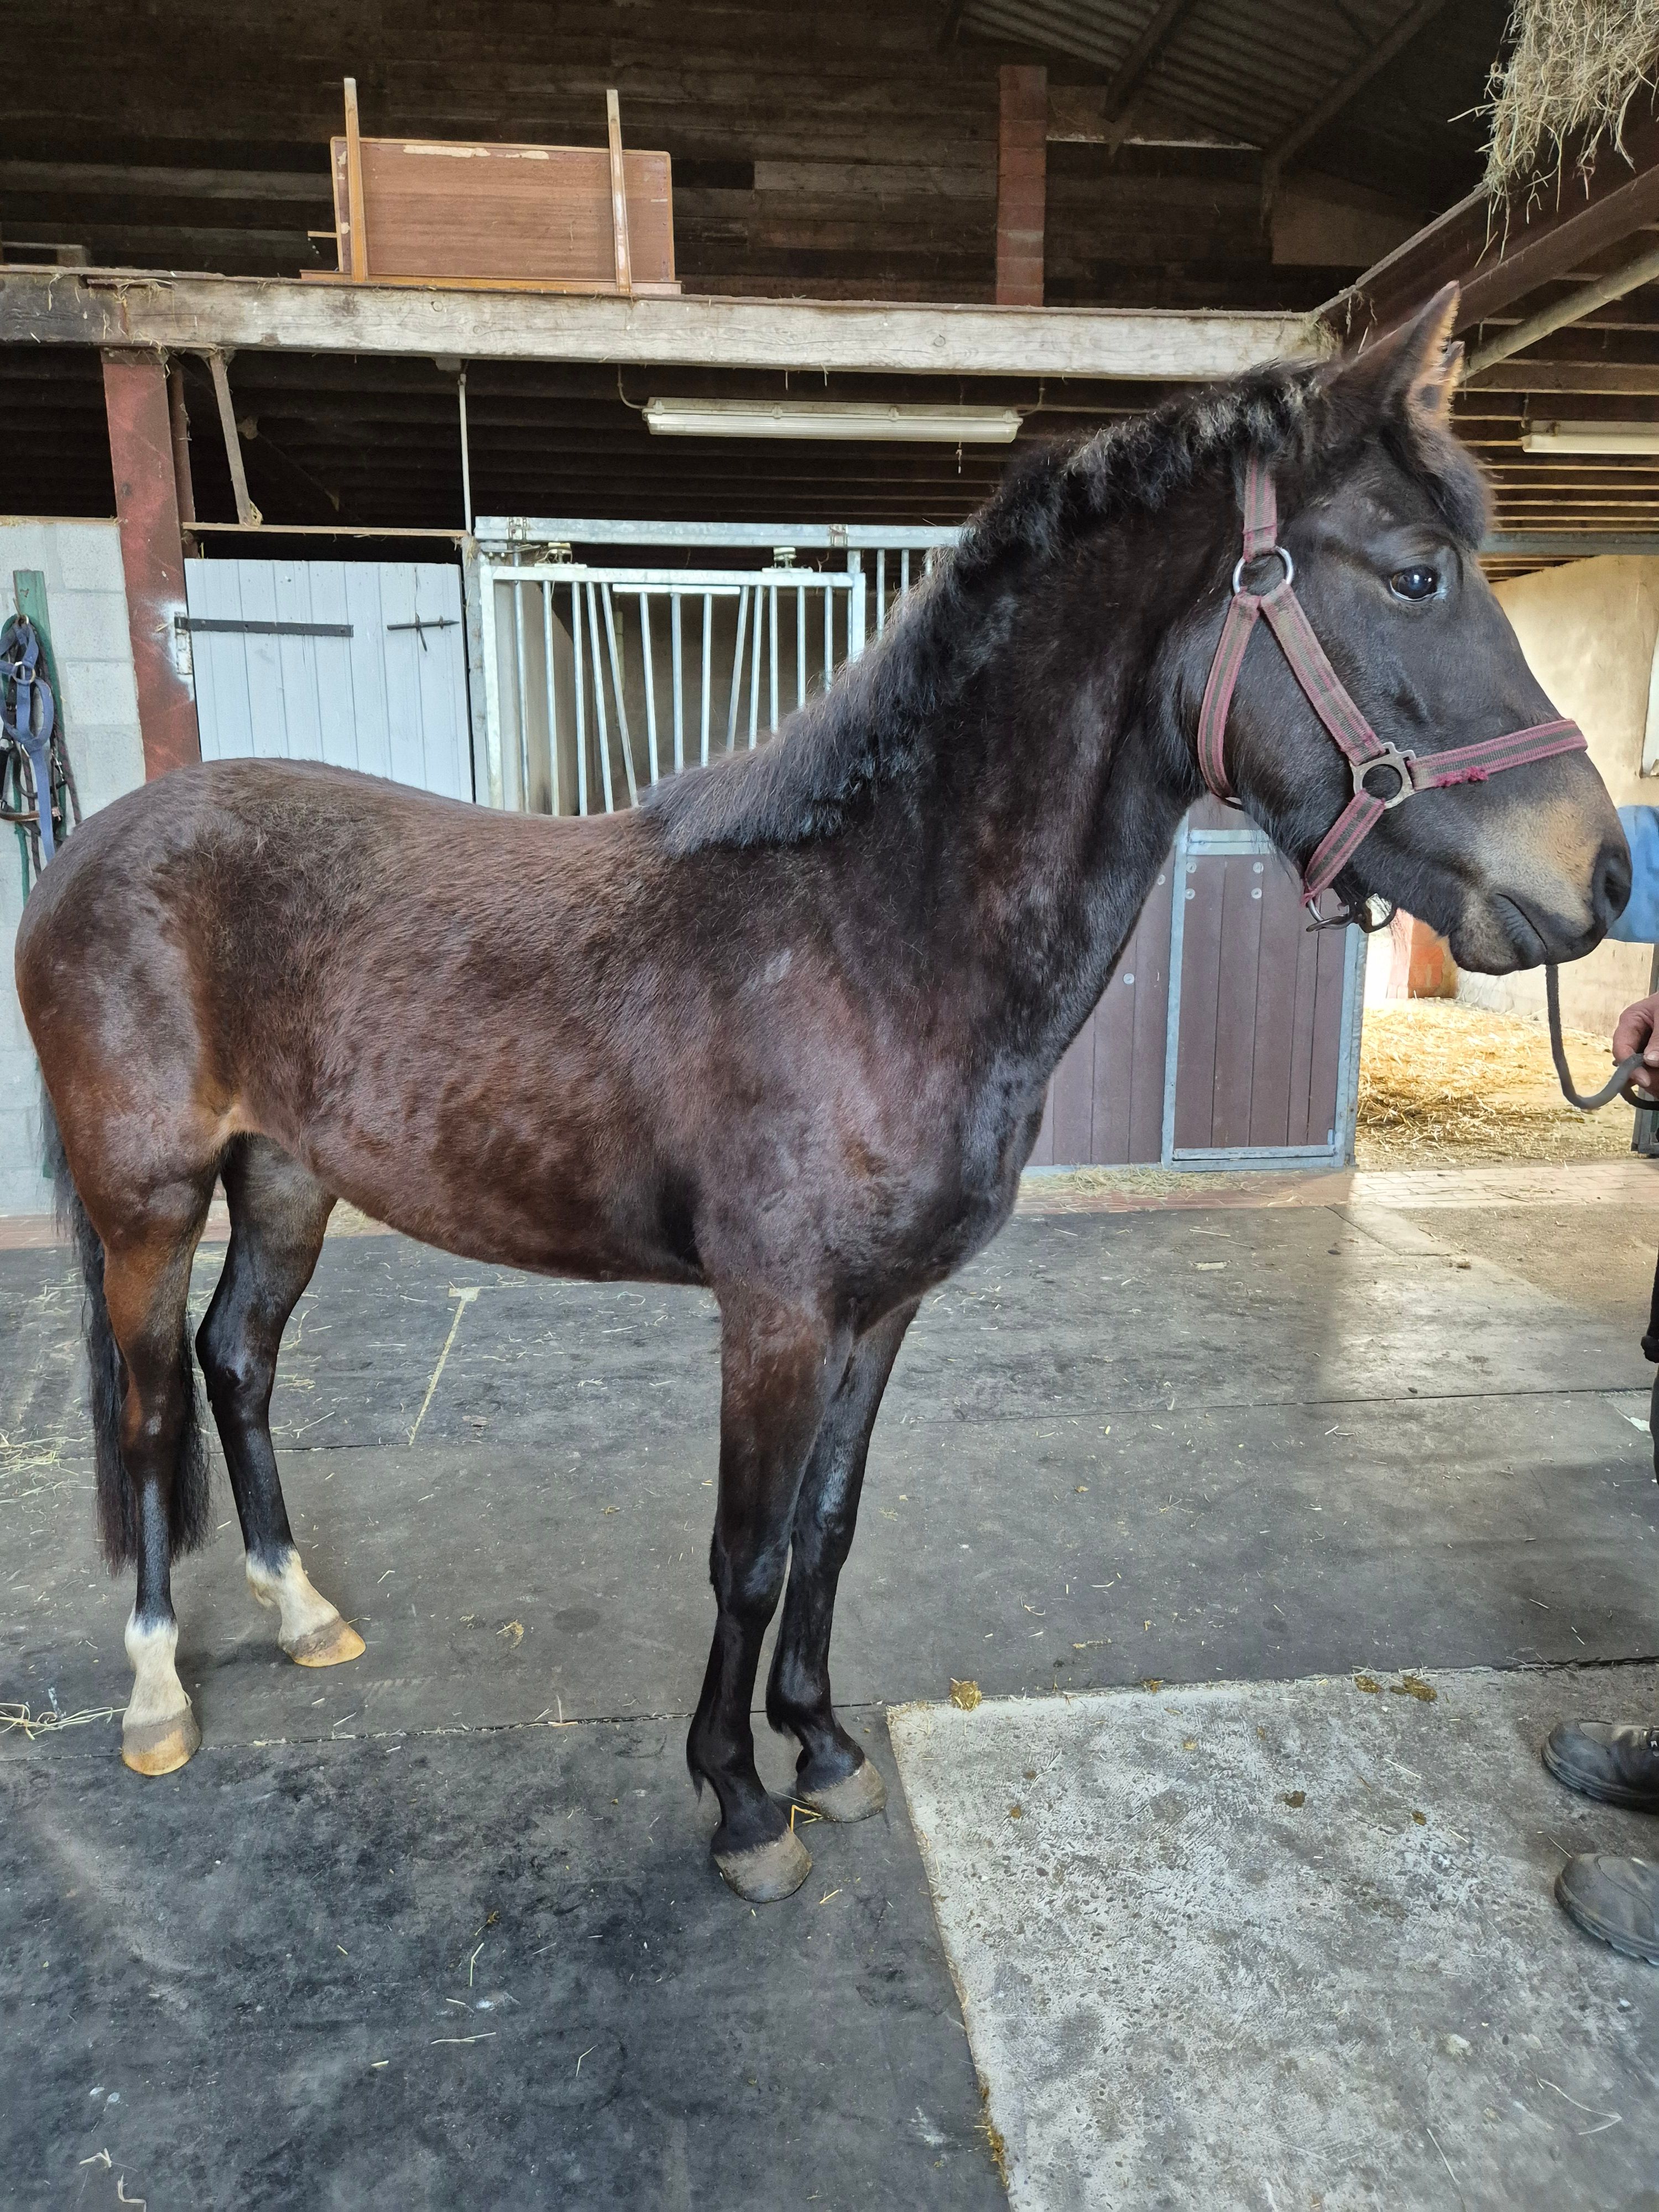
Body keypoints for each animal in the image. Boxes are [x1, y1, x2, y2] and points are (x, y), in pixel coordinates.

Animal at [16, 286, 1628, 1904]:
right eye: (1416, 574)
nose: (1606, 872)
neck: (869, 934)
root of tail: (88, 854)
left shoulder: (880, 1308)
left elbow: (828, 1529)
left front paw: (827, 1749)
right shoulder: (777, 1314)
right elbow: (745, 1551)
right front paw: (739, 1800)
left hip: (287, 1178)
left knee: (238, 1363)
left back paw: (301, 1614)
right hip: (149, 1200)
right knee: (151, 1408)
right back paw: (156, 1692)